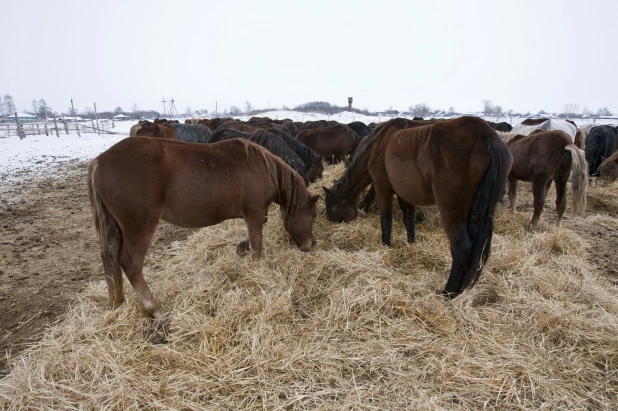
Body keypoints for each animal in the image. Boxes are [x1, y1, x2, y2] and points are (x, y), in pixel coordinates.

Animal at [88, 137, 318, 320]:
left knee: (109, 260)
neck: (263, 167)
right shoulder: (255, 213)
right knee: (131, 264)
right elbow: (257, 248)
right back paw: (155, 310)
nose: (310, 245)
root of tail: (100, 161)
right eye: (313, 216)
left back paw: (116, 303)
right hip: (140, 226)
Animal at [322, 117, 510, 298]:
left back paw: (448, 293)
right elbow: (409, 219)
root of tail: (487, 137)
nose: (330, 222)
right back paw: (460, 289)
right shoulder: (404, 193)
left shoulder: (382, 187)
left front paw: (386, 246)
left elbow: (386, 220)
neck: (379, 143)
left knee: (462, 247)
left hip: (451, 210)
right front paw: (411, 243)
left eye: (330, 208)